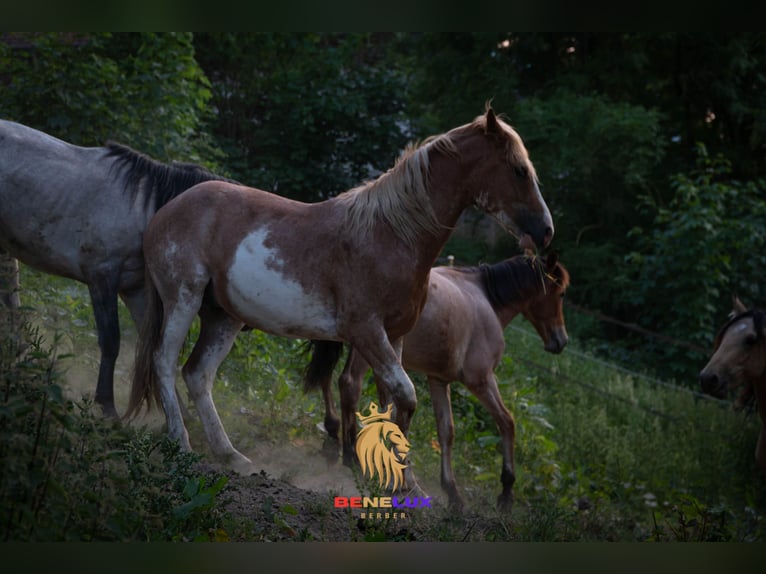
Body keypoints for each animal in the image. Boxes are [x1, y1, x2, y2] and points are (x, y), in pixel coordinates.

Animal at [127, 107, 560, 486]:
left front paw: (403, 483)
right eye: (520, 170)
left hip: (224, 316)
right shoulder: (365, 331)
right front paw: (393, 479)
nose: (546, 231)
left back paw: (230, 455)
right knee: (164, 361)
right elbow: (405, 397)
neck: (390, 236)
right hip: (183, 298)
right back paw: (181, 443)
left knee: (197, 374)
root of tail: (170, 208)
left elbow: (393, 406)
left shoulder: (394, 336)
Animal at [306, 254, 568, 510]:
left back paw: (334, 434)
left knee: (327, 376)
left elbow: (445, 431)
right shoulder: (481, 380)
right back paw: (351, 455)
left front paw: (452, 492)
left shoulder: (439, 380)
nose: (561, 340)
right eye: (561, 293)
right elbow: (507, 422)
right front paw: (506, 491)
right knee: (349, 383)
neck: (487, 300)